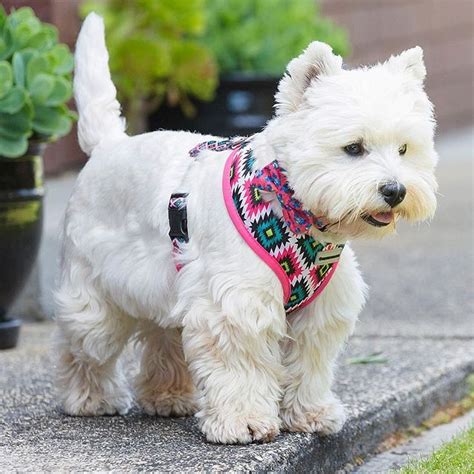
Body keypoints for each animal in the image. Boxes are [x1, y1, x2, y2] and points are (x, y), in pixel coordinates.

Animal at [55, 13, 436, 444]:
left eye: (404, 149)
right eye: (353, 148)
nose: (395, 190)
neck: (290, 210)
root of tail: (107, 145)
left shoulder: (319, 312)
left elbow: (309, 365)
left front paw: (310, 414)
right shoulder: (235, 303)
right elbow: (242, 367)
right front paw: (245, 422)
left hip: (167, 285)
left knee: (163, 336)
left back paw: (168, 396)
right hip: (96, 293)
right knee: (84, 344)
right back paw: (92, 399)